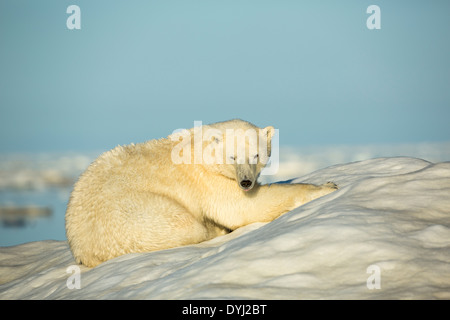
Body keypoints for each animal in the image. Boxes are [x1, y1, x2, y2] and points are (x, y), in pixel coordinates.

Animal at [65, 119, 336, 266]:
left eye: (256, 154)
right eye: (232, 156)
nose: (246, 182)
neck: (200, 148)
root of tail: (82, 249)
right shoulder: (208, 180)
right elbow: (241, 207)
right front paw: (326, 187)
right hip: (134, 215)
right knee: (185, 225)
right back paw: (213, 229)